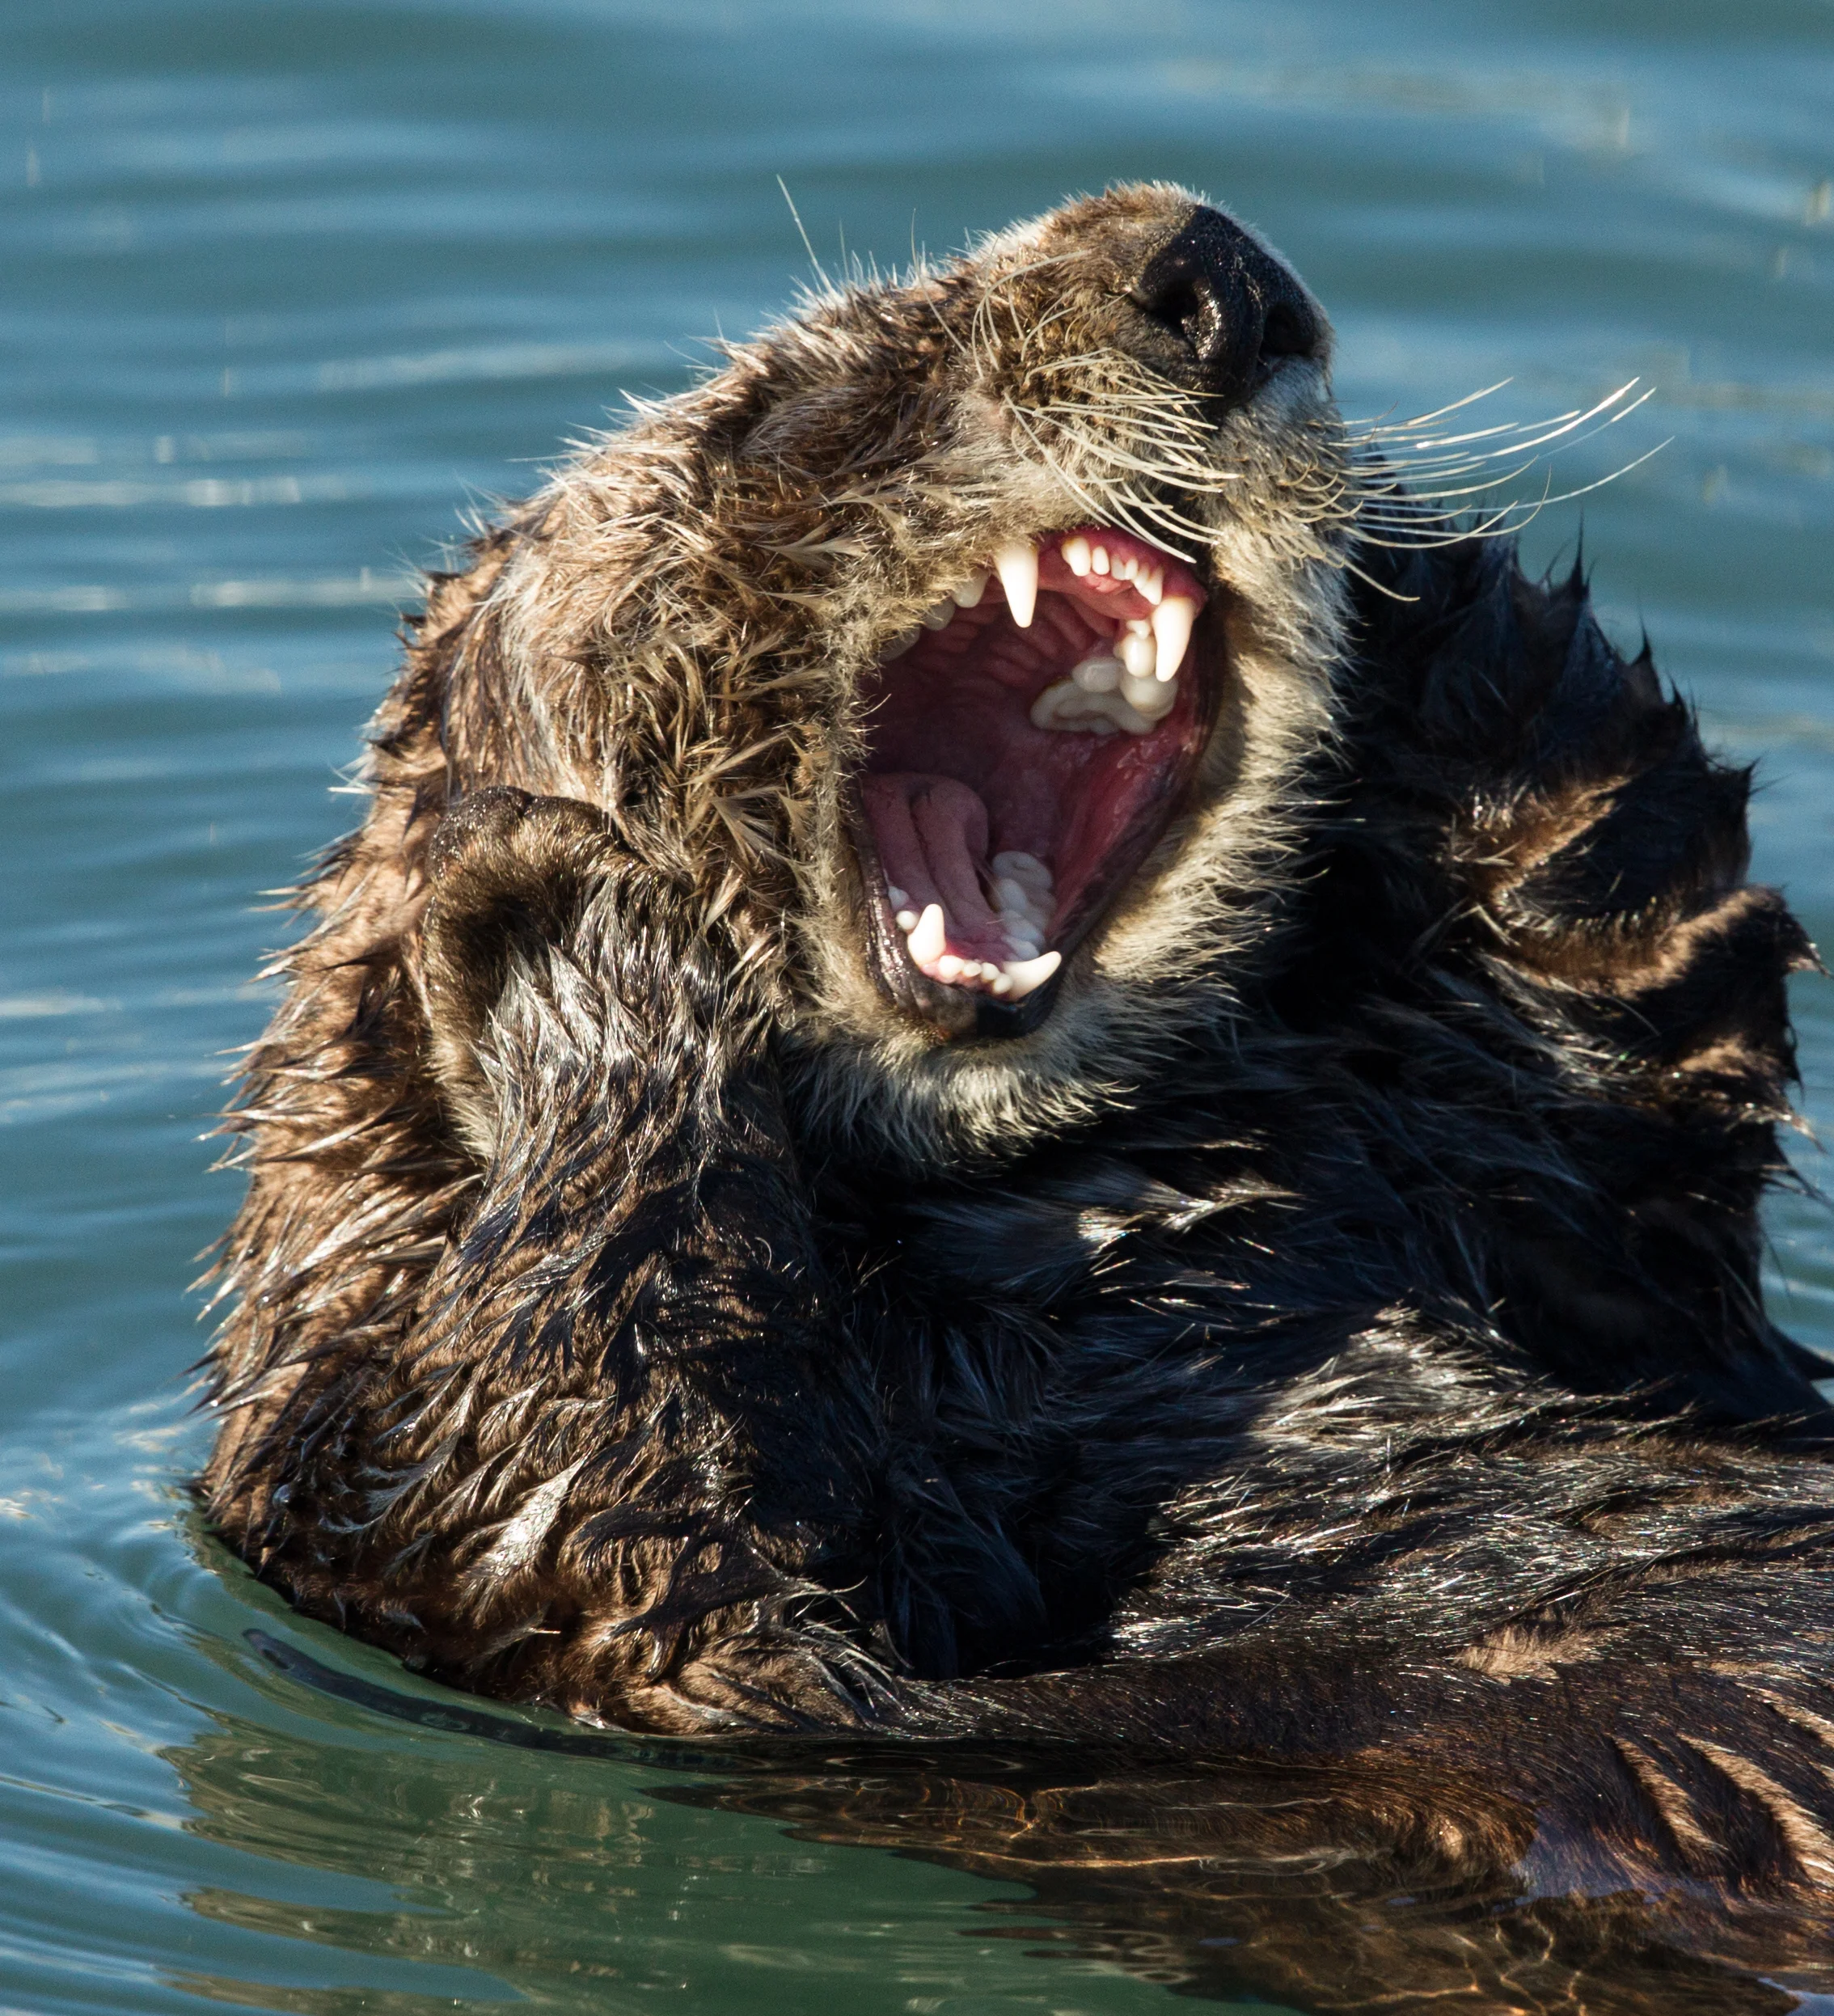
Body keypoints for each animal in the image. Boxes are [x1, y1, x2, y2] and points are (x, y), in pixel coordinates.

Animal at [202, 185, 1834, 1972]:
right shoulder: (416, 1504)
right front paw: (543, 907)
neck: (1058, 1211)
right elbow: (581, 1493)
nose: (1209, 271)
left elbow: (1658, 1003)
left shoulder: (1583, 1233)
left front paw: (1418, 577)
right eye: (794, 404)